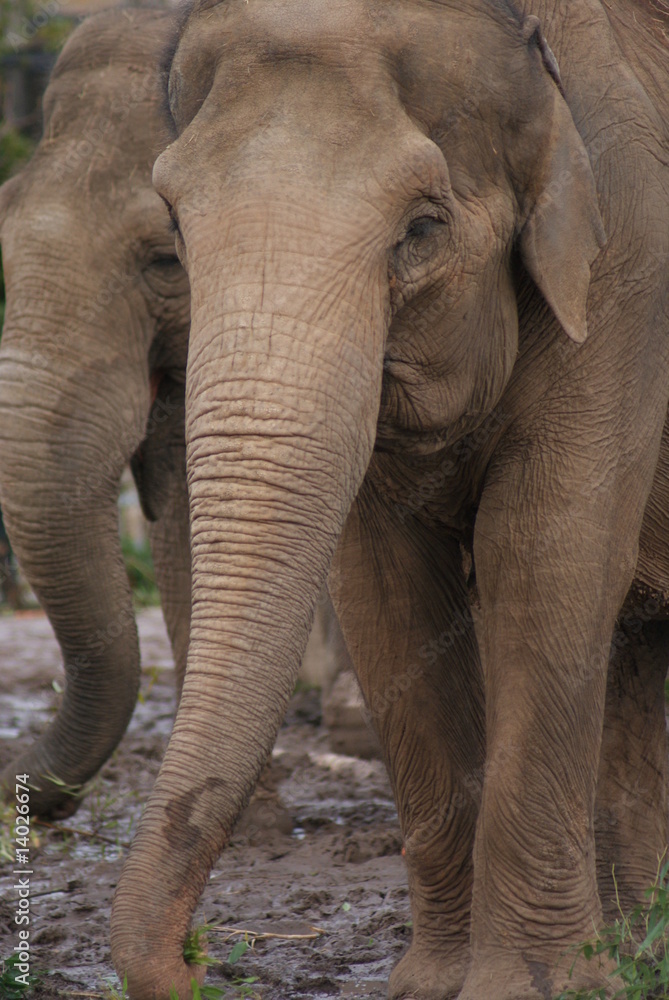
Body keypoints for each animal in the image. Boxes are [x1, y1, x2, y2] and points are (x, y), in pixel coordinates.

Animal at [109, 1, 669, 999]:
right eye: (172, 223)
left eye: (420, 229)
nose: (200, 965)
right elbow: (383, 590)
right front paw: (431, 985)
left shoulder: (628, 274)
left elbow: (548, 559)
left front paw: (527, 989)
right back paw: (635, 955)